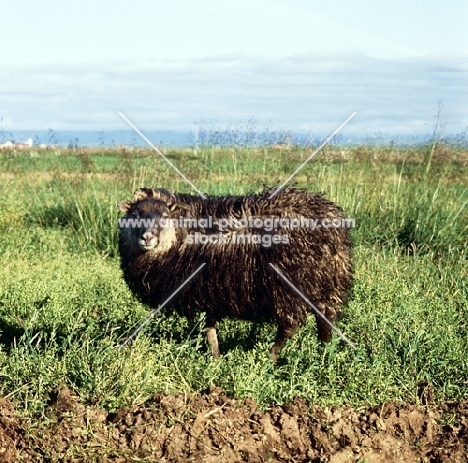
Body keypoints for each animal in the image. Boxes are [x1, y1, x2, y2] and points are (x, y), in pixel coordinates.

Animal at [117, 188, 352, 358]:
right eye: (135, 214)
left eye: (165, 216)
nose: (147, 237)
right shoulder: (207, 294)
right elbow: (210, 328)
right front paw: (216, 357)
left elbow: (208, 329)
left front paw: (214, 357)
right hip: (328, 283)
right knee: (326, 318)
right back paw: (324, 351)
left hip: (288, 287)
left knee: (289, 326)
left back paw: (269, 358)